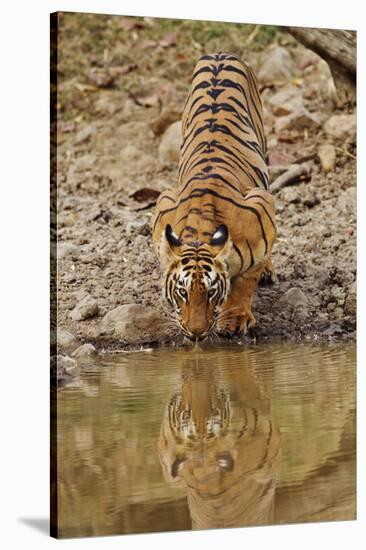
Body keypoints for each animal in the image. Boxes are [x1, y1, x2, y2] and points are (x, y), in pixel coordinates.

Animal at [152, 54, 278, 342]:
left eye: (211, 292)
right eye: (182, 292)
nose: (196, 334)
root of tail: (219, 54)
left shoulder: (262, 205)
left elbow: (245, 281)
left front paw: (235, 319)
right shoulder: (163, 204)